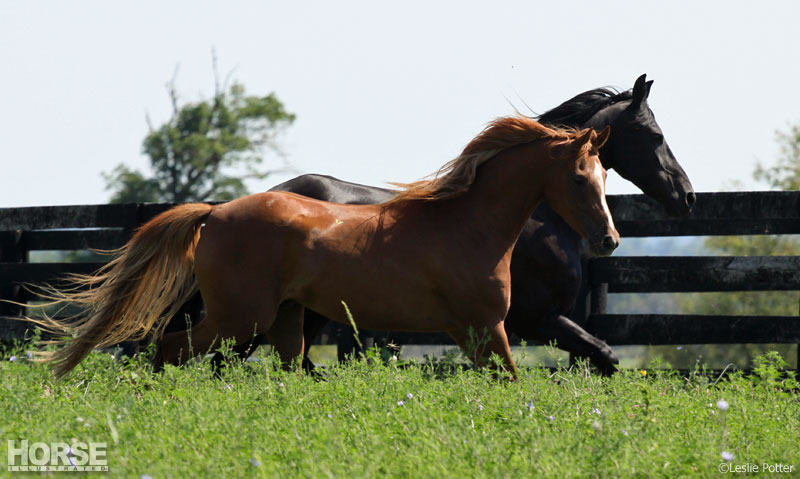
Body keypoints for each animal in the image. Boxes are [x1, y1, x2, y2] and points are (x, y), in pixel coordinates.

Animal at [31, 117, 616, 378]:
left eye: (605, 174)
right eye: (580, 178)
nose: (608, 240)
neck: (467, 225)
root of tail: (215, 213)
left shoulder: (471, 333)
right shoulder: (492, 326)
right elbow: (512, 383)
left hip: (283, 321)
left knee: (284, 370)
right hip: (240, 318)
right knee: (172, 349)